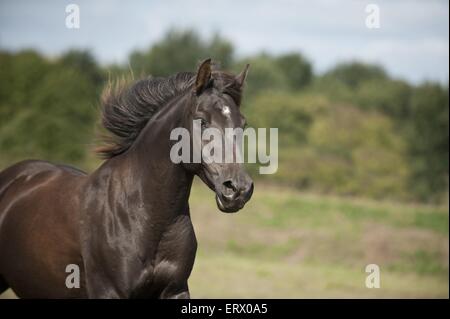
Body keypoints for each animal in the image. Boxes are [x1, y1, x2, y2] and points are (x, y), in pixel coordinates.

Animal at [0, 60, 253, 300]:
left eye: (243, 123)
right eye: (202, 121)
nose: (238, 189)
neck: (144, 216)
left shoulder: (176, 288)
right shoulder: (109, 291)